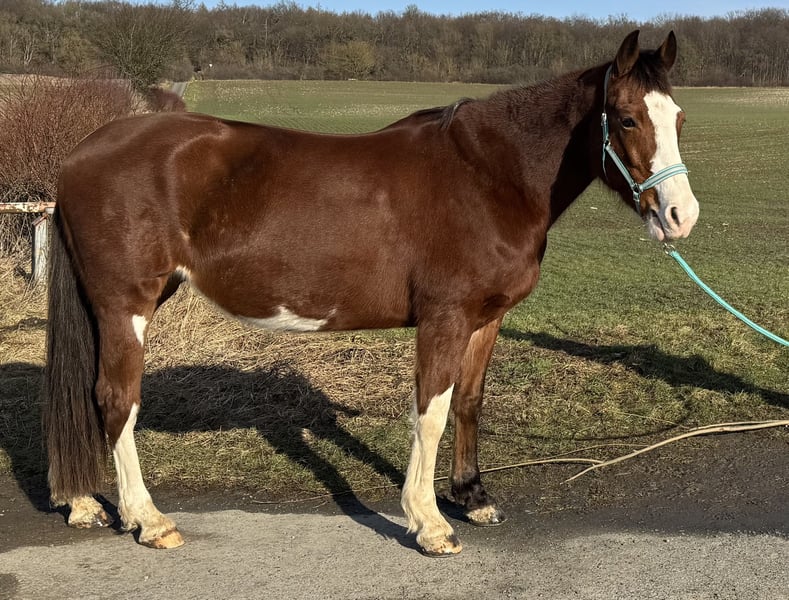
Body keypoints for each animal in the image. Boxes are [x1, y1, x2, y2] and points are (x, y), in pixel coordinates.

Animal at [43, 30, 699, 556]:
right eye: (628, 118)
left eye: (679, 120)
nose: (681, 215)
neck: (488, 176)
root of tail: (79, 153)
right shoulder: (444, 318)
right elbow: (430, 413)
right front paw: (429, 523)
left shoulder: (485, 319)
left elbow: (469, 402)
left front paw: (472, 497)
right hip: (125, 304)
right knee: (116, 399)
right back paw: (149, 520)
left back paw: (82, 503)